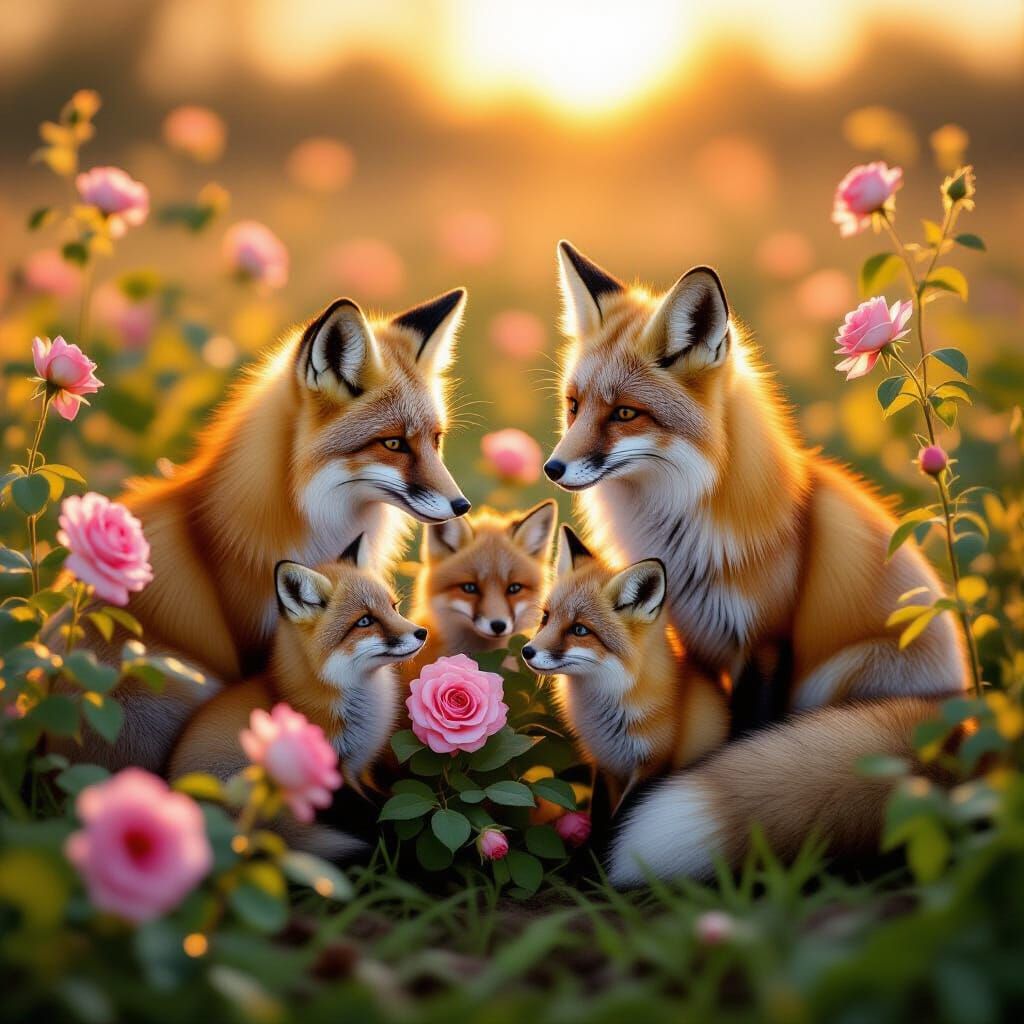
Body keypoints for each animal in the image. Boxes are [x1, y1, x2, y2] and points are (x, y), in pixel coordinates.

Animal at [170, 536, 426, 859]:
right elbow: (376, 818)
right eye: (365, 621)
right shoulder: (329, 779)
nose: (422, 632)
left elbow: (382, 799)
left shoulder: (356, 769)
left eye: (393, 607)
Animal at [544, 240, 968, 883]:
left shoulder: (766, 642)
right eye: (574, 407)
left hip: (843, 673)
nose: (551, 468)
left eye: (624, 414)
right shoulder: (694, 640)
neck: (683, 535)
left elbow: (742, 739)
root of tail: (964, 726)